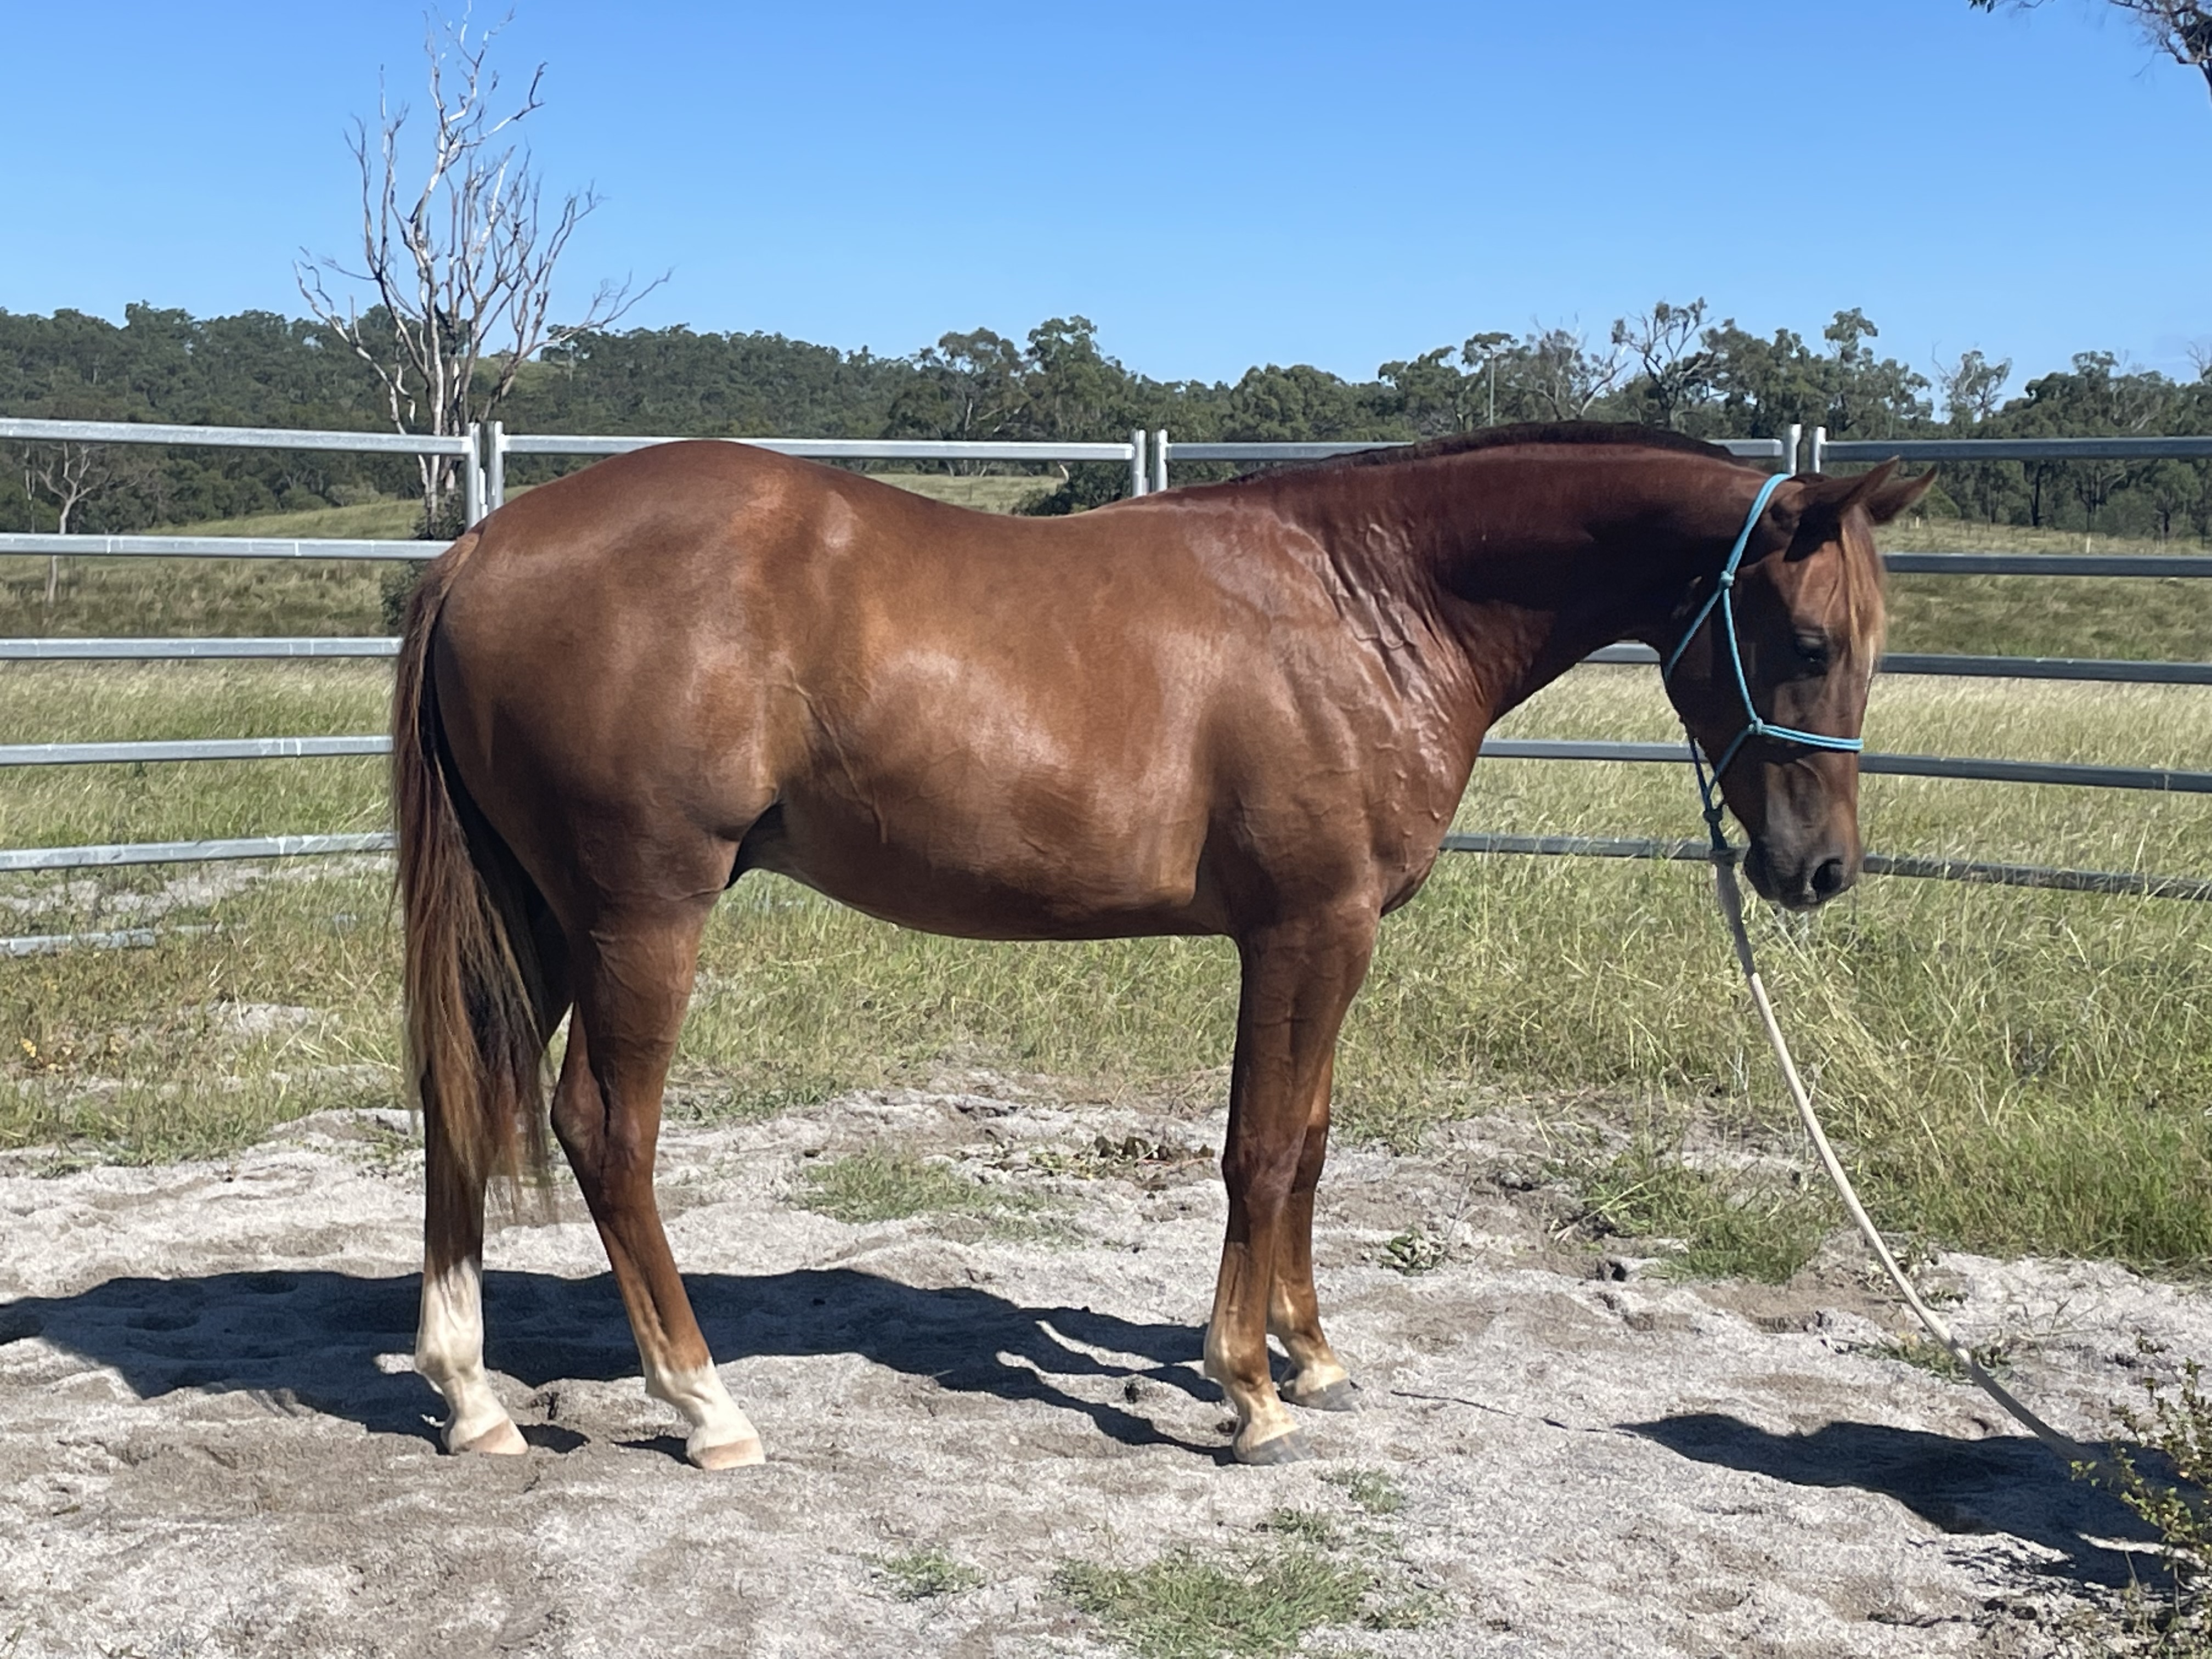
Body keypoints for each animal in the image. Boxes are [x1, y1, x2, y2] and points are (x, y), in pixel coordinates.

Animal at [391, 422, 1930, 1468]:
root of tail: (484, 546)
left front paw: (1313, 1356)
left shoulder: (1333, 940)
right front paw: (1247, 1391)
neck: (1368, 603)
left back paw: (470, 1397)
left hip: (535, 919)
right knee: (605, 1130)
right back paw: (705, 1404)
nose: (1819, 870)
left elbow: (1308, 1142)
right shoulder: (1307, 932)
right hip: (642, 917)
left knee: (457, 1104)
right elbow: (1259, 1149)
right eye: (1802, 640)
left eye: (1871, 644)